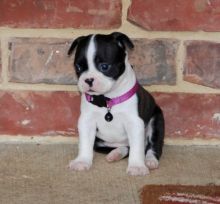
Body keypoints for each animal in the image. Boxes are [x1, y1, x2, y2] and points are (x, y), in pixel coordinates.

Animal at [68, 31, 164, 175]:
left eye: (104, 66)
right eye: (78, 67)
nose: (88, 80)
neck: (108, 100)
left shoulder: (134, 123)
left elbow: (137, 148)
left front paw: (137, 167)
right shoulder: (86, 121)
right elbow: (85, 143)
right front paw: (82, 161)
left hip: (156, 121)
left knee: (151, 146)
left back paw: (150, 160)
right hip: (100, 142)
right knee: (124, 147)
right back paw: (115, 153)